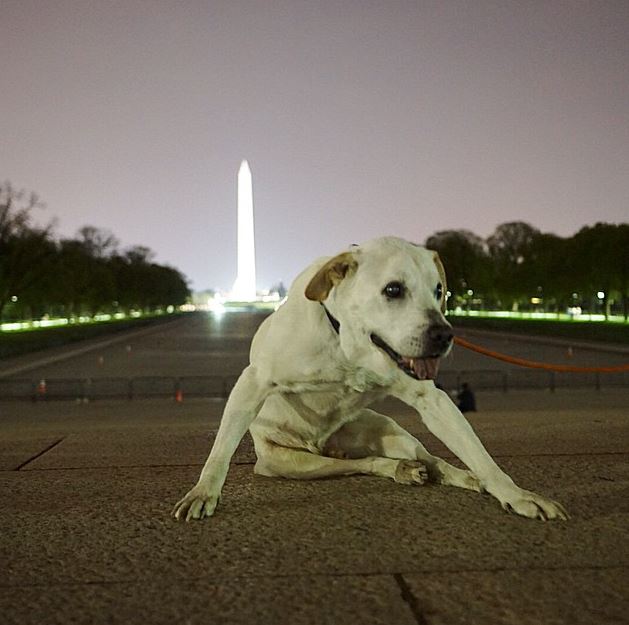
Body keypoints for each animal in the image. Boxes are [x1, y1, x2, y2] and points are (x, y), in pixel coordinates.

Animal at [173, 238, 568, 520]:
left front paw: (514, 494)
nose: (444, 335)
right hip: (289, 463)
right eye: (393, 289)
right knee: (357, 464)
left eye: (439, 290)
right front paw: (203, 492)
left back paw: (457, 476)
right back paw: (399, 470)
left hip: (393, 432)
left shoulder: (432, 399)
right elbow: (220, 451)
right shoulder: (253, 381)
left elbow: (479, 453)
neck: (349, 346)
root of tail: (325, 443)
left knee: (431, 460)